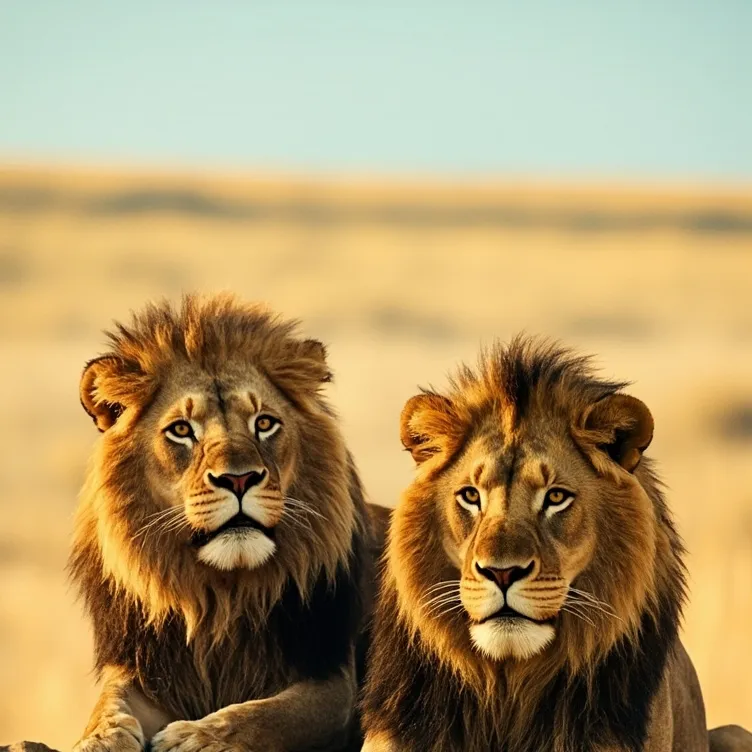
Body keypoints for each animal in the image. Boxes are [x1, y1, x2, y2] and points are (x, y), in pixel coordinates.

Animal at [69, 294, 376, 752]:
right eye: (181, 430)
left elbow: (265, 714)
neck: (221, 596)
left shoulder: (332, 682)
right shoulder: (143, 672)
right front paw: (99, 741)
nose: (238, 479)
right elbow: (109, 707)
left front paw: (195, 737)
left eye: (264, 423)